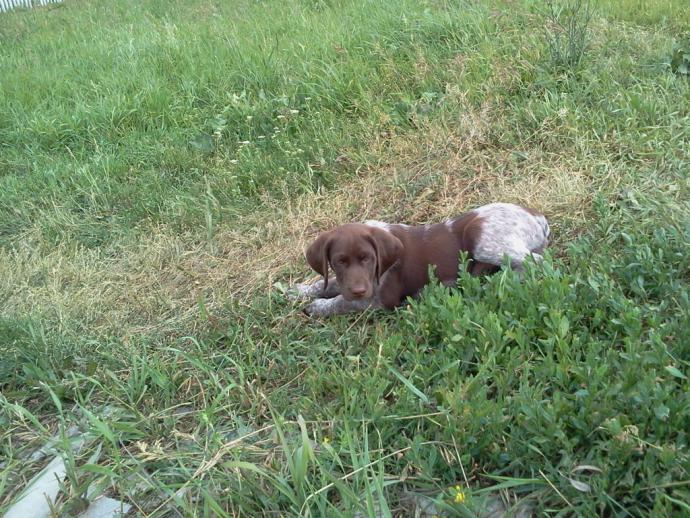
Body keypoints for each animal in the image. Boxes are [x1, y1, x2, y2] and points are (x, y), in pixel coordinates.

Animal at [293, 203, 549, 317]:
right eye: (339, 262)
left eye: (368, 259)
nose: (358, 290)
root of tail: (538, 217)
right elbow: (325, 284)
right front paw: (297, 291)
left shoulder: (381, 300)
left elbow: (342, 302)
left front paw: (318, 307)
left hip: (481, 237)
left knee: (536, 262)